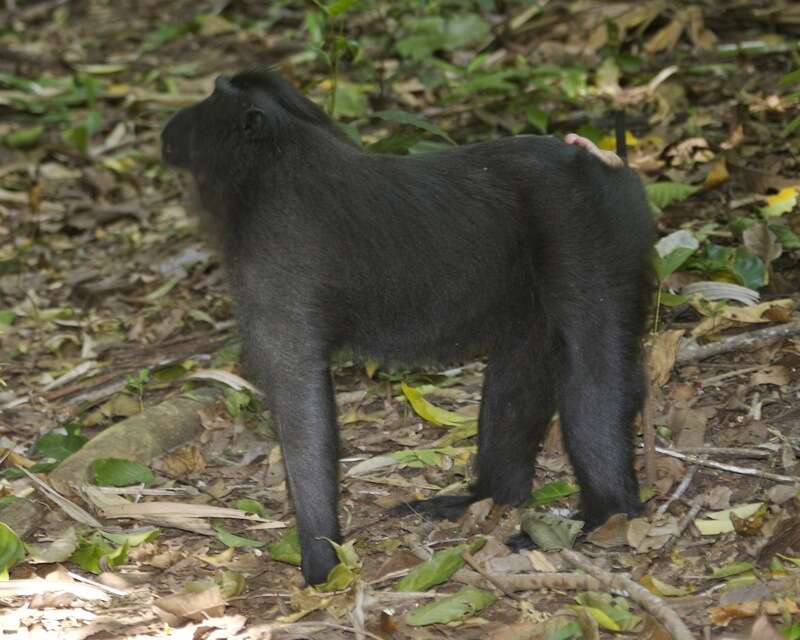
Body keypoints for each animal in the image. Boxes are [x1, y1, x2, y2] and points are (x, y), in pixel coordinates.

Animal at [162, 70, 656, 584]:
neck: (271, 158)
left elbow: (300, 403)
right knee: (524, 356)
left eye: (209, 99)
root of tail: (601, 165)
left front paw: (322, 564)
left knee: (592, 366)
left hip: (585, 232)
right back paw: (491, 496)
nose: (170, 128)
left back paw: (607, 514)